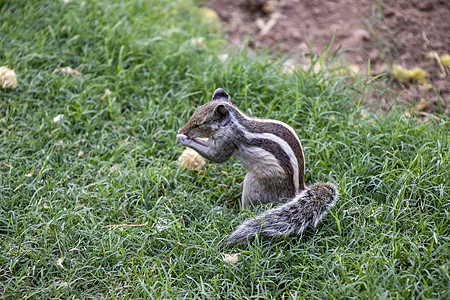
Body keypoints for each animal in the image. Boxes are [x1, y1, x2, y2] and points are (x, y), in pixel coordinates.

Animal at [178, 88, 340, 244]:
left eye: (201, 123)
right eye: (195, 111)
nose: (182, 130)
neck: (233, 123)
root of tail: (299, 190)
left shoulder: (226, 141)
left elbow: (216, 157)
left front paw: (184, 139)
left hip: (255, 183)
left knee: (249, 209)